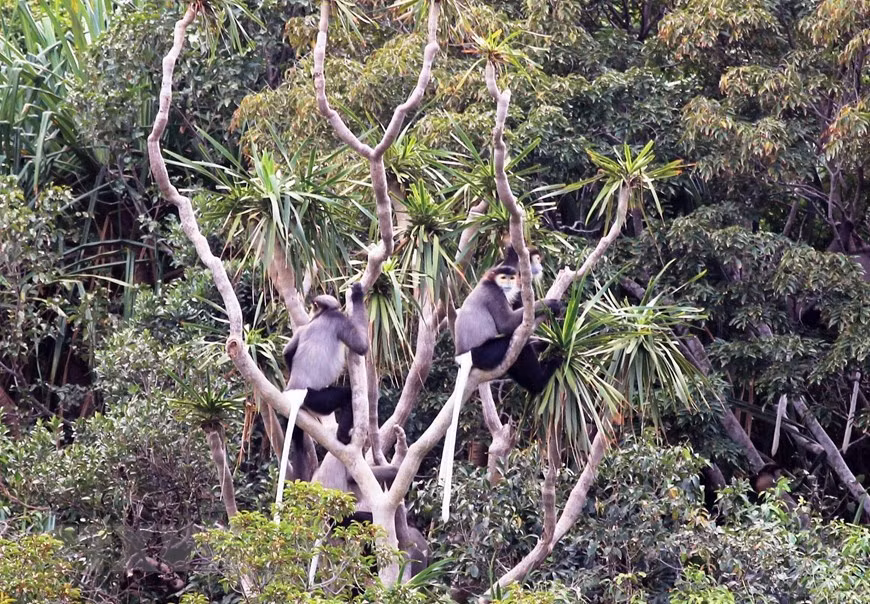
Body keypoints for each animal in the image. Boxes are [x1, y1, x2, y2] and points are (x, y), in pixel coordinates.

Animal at [438, 264, 564, 521]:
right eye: (503, 277)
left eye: (511, 276)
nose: (508, 282)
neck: (492, 282)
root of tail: (464, 356)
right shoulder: (494, 294)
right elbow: (507, 324)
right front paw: (552, 304)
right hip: (487, 353)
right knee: (514, 343)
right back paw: (540, 380)